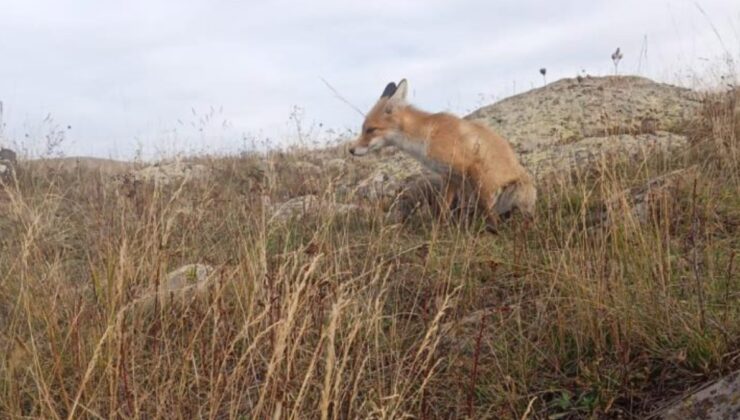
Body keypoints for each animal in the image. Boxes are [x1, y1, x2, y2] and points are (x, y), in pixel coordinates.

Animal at [350, 80, 536, 228]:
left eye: (370, 130)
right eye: (363, 129)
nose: (350, 150)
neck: (426, 136)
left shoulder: (472, 167)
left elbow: (487, 206)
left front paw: (494, 231)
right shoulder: (449, 176)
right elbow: (442, 209)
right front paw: (439, 229)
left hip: (517, 191)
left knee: (522, 216)